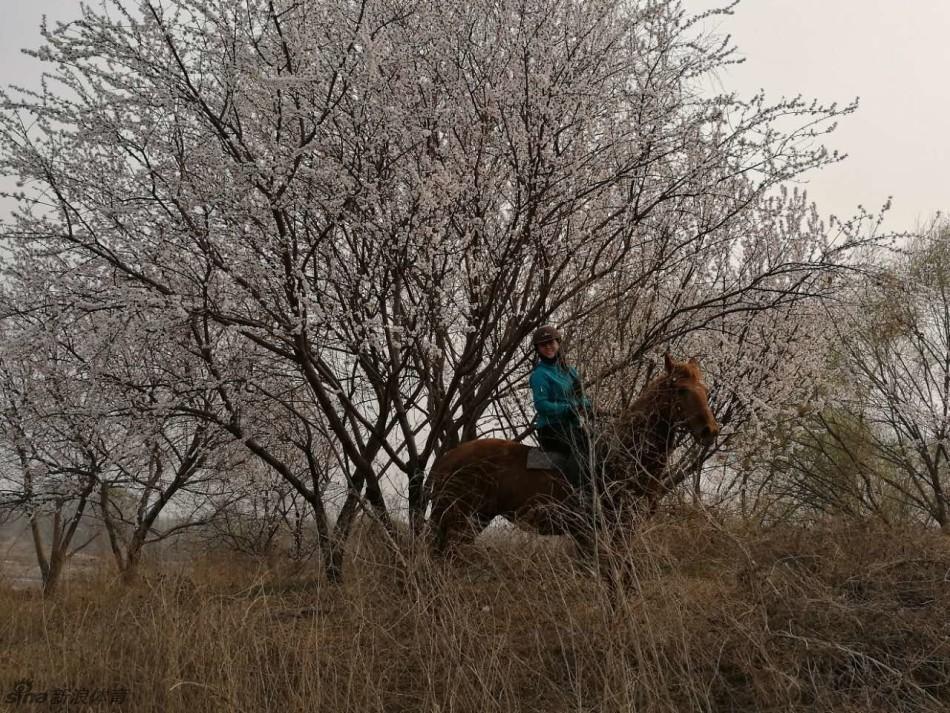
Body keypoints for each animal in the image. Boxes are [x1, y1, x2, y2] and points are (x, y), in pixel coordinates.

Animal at [428, 354, 716, 552]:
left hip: (475, 519)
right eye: (681, 390)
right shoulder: (612, 530)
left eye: (707, 391)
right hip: (459, 519)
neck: (625, 455)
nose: (710, 431)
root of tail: (446, 459)